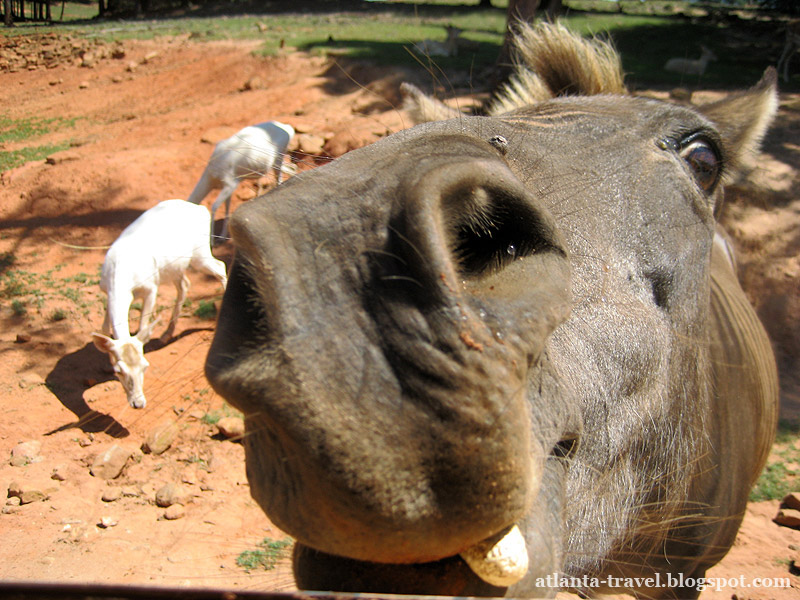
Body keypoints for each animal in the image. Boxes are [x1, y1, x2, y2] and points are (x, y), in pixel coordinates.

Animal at [92, 199, 227, 410]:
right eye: (119, 370)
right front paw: (105, 364)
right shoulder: (107, 292)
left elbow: (143, 325)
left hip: (200, 254)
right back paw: (166, 334)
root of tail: (201, 209)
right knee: (185, 284)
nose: (138, 403)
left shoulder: (151, 288)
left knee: (221, 267)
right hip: (176, 266)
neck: (122, 274)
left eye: (145, 366)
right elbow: (105, 328)